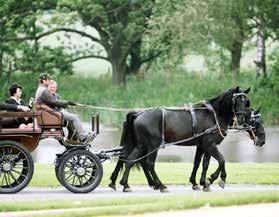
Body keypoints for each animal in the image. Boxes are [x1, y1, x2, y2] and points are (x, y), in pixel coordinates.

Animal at [111, 86, 252, 192]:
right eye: (236, 101)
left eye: (246, 102)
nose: (241, 120)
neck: (213, 114)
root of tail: (139, 113)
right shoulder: (210, 144)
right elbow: (221, 160)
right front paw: (216, 179)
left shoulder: (202, 145)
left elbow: (200, 164)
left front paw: (199, 183)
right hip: (153, 145)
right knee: (149, 163)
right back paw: (160, 185)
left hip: (141, 145)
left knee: (130, 160)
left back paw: (125, 184)